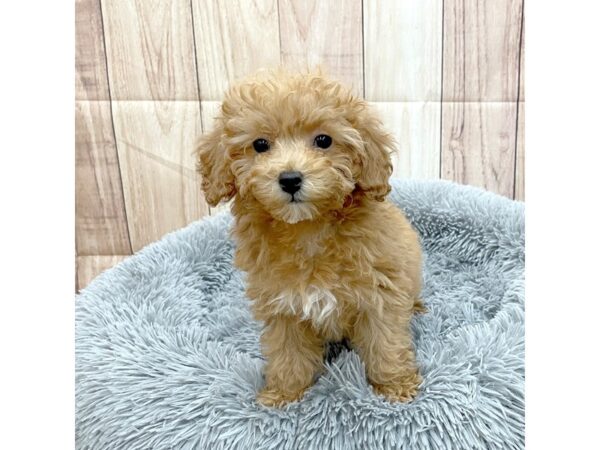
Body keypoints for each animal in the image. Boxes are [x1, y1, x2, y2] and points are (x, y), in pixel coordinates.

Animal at [196, 67, 422, 408]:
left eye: (323, 140)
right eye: (260, 144)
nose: (290, 179)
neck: (307, 228)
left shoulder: (380, 295)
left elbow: (386, 344)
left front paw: (395, 386)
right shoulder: (282, 305)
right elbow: (288, 353)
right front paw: (284, 394)